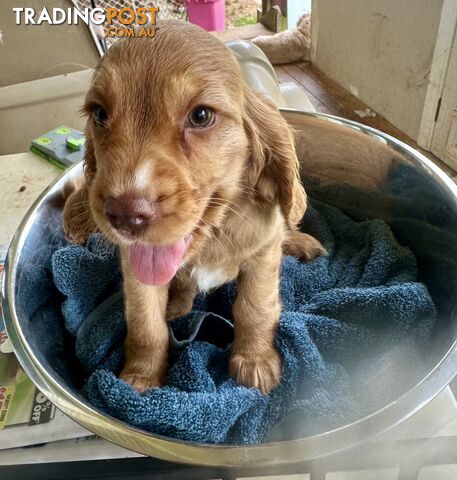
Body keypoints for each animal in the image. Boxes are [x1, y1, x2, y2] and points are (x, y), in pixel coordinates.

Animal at [63, 19, 324, 394]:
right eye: (99, 113)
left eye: (201, 116)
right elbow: (145, 324)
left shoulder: (263, 254)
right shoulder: (135, 266)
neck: (212, 238)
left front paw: (256, 361)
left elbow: (255, 307)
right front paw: (140, 378)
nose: (124, 215)